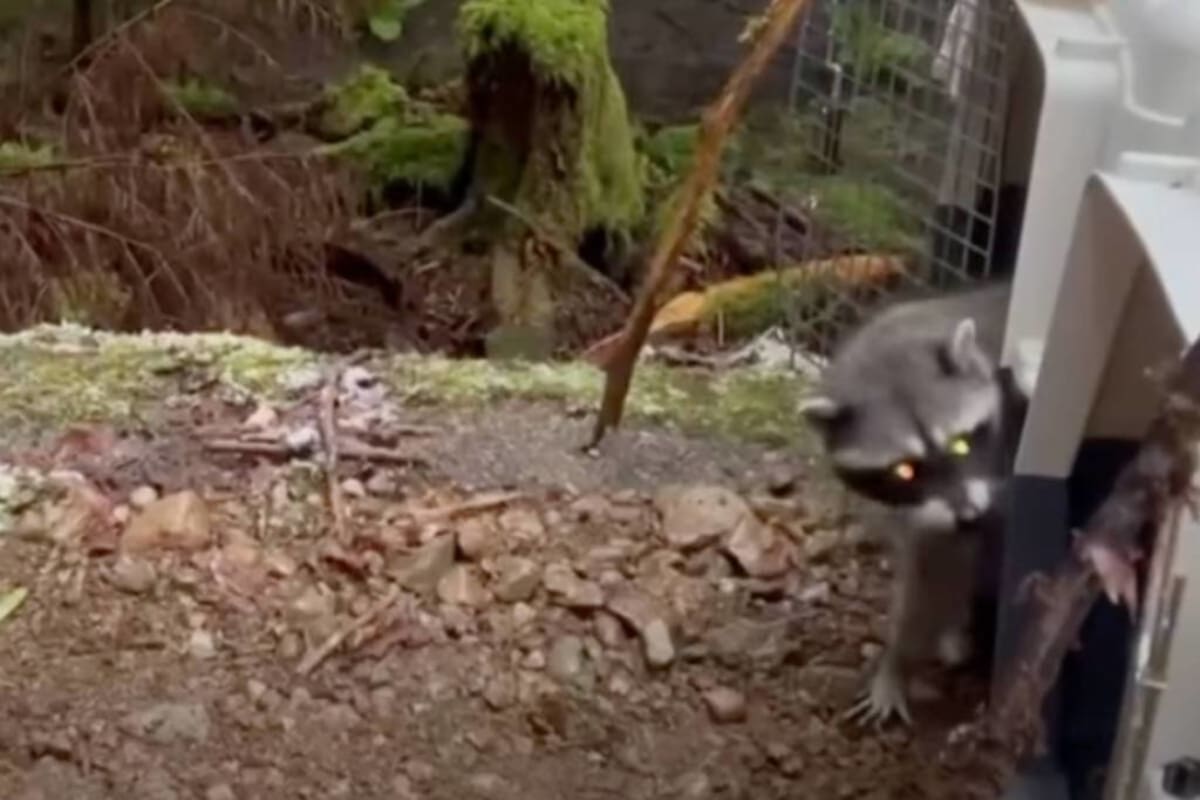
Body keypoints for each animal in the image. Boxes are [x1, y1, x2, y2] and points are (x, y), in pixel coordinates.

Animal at [801, 282, 1028, 726]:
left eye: (960, 444)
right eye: (905, 470)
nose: (970, 517)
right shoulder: (920, 513)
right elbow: (933, 569)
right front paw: (897, 662)